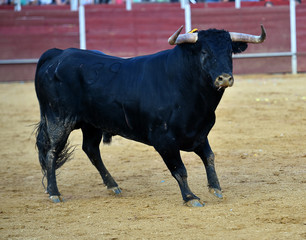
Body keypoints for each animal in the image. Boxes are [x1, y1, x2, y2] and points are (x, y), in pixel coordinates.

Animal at [35, 25, 266, 206]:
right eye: (204, 51)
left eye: (229, 52)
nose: (224, 78)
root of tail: (57, 54)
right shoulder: (164, 140)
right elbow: (180, 169)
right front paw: (191, 197)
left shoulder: (199, 134)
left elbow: (209, 157)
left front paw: (216, 188)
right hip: (58, 119)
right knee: (51, 151)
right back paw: (54, 193)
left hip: (92, 124)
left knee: (91, 150)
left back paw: (113, 186)